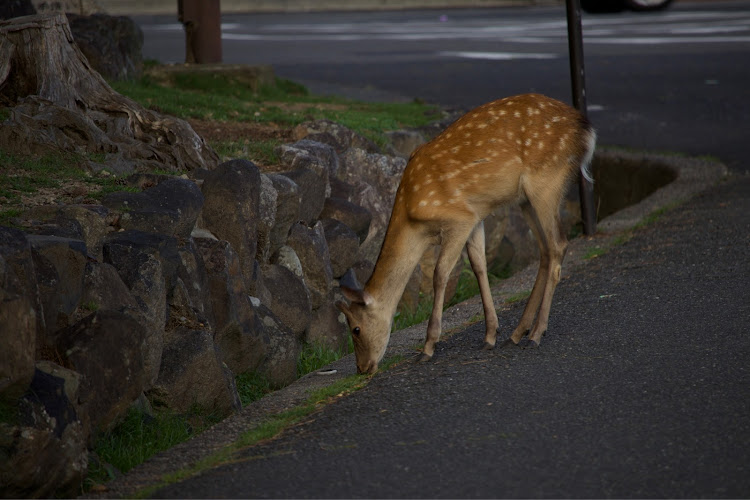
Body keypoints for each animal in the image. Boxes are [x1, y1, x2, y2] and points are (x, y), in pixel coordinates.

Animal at [338, 94, 596, 376]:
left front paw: (428, 348)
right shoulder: (476, 217)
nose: (363, 367)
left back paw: (536, 333)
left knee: (559, 244)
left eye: (355, 328)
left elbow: (440, 273)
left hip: (546, 180)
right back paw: (517, 333)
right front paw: (490, 335)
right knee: (546, 250)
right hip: (525, 199)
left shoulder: (460, 218)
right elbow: (479, 265)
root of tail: (585, 129)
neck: (414, 220)